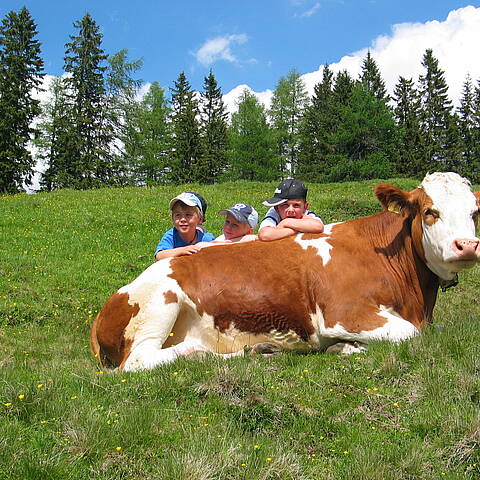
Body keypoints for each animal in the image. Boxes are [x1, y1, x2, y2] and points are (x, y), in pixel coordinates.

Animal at [91, 172, 480, 372]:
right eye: (430, 211)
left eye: (474, 212)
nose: (466, 245)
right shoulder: (345, 314)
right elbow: (411, 335)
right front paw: (346, 348)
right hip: (159, 302)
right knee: (138, 361)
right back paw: (195, 351)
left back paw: (254, 350)